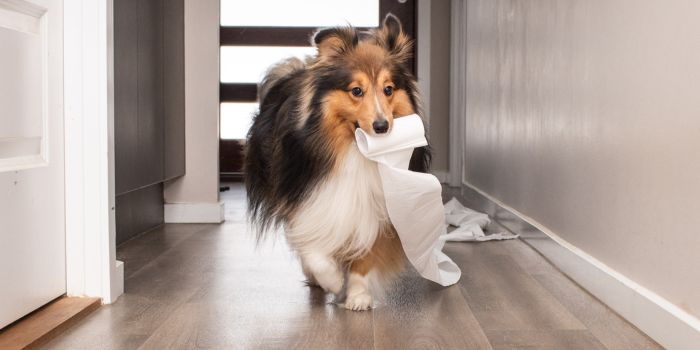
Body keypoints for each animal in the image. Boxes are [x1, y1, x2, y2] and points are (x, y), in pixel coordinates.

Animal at [246, 13, 432, 310]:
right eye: (356, 91)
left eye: (388, 89)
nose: (382, 127)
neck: (354, 151)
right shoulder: (304, 198)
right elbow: (312, 247)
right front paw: (331, 281)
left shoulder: (376, 206)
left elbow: (365, 253)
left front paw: (357, 295)